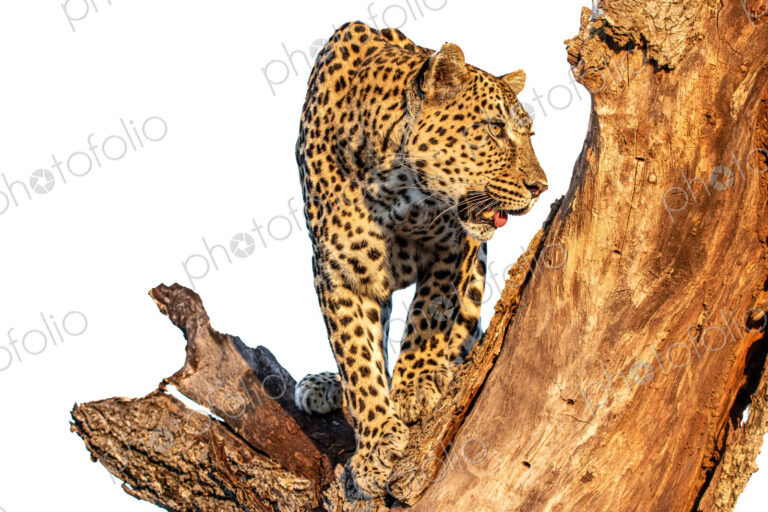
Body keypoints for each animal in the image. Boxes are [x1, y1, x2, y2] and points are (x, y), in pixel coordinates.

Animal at [293, 21, 547, 498]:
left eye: (529, 135)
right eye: (494, 128)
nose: (541, 186)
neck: (394, 189)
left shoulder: (459, 245)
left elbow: (432, 311)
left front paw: (416, 387)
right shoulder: (337, 271)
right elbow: (356, 355)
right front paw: (376, 445)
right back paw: (322, 385)